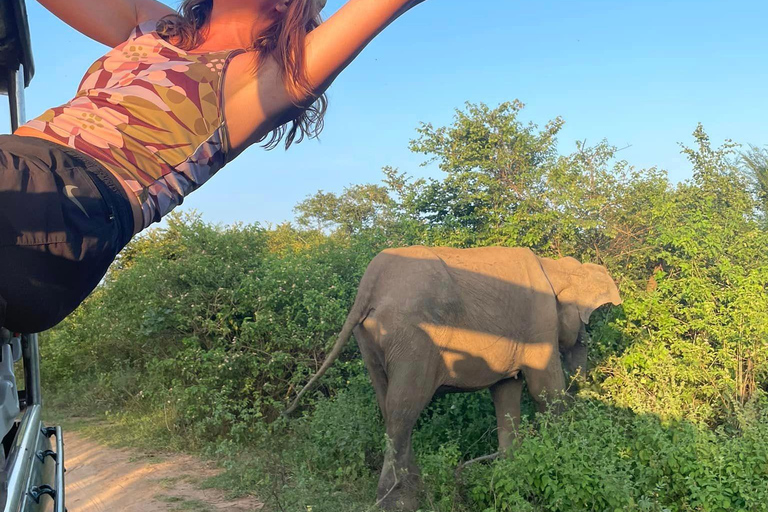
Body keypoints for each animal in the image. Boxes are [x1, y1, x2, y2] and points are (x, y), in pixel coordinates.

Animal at [284, 246, 620, 510]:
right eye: (584, 321)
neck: (553, 265)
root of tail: (370, 285)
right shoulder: (540, 323)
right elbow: (545, 391)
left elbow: (506, 393)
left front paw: (507, 469)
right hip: (412, 338)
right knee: (404, 407)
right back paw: (399, 502)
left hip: (369, 339)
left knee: (387, 403)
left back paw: (413, 489)